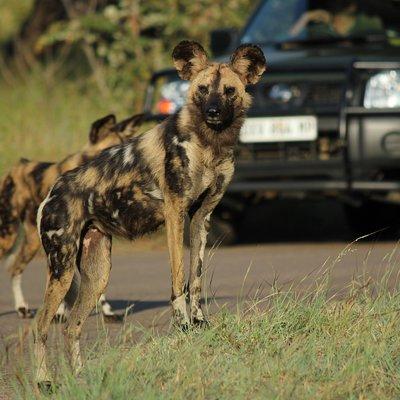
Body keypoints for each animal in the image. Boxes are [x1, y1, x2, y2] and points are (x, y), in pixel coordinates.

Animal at [0, 112, 144, 318]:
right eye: (112, 150)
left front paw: (106, 311)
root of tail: (16, 167)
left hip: (33, 241)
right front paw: (60, 313)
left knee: (15, 269)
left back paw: (22, 308)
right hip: (9, 234)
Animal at [34, 40, 266, 388]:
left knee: (72, 325)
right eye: (202, 89)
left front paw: (199, 322)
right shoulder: (176, 213)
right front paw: (182, 325)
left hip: (98, 272)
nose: (212, 112)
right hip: (61, 268)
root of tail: (53, 190)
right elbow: (179, 279)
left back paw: (81, 380)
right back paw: (43, 381)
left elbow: (196, 278)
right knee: (40, 324)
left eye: (228, 91)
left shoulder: (201, 217)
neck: (209, 145)